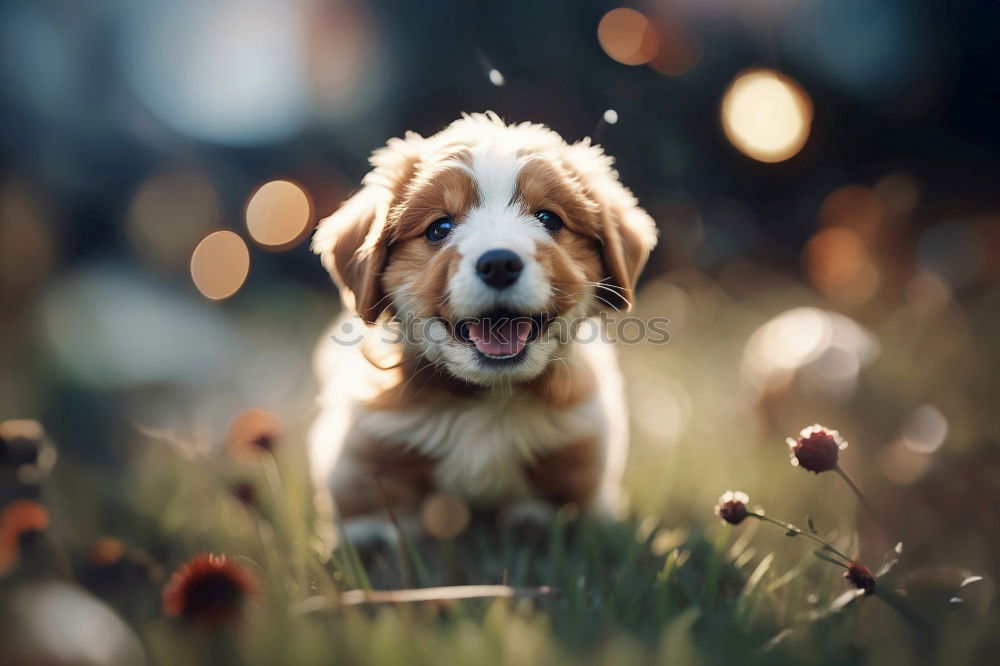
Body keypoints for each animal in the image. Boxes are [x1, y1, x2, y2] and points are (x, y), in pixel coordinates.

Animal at [310, 111, 656, 544]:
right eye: (439, 228)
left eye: (548, 219)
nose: (499, 264)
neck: (487, 399)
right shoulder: (365, 435)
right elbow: (370, 487)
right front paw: (373, 535)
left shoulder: (582, 436)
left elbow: (567, 493)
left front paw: (536, 521)